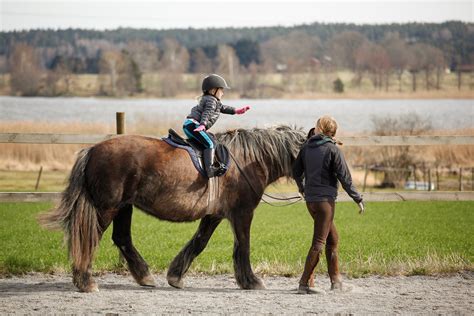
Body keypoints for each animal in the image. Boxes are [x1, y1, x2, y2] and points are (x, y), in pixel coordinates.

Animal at [41, 124, 308, 292]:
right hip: (107, 207)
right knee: (90, 238)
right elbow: (243, 246)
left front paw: (176, 276)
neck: (247, 160)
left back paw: (144, 276)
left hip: (123, 207)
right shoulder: (242, 213)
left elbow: (199, 242)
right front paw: (251, 281)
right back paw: (85, 281)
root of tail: (93, 150)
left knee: (122, 238)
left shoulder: (214, 215)